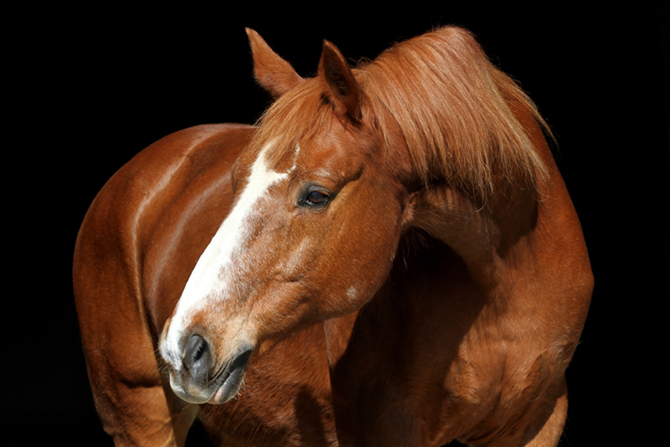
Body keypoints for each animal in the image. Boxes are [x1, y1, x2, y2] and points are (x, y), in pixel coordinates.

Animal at [76, 26, 596, 446]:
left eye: (316, 195)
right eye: (235, 180)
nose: (185, 347)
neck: (505, 281)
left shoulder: (535, 425)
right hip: (140, 415)